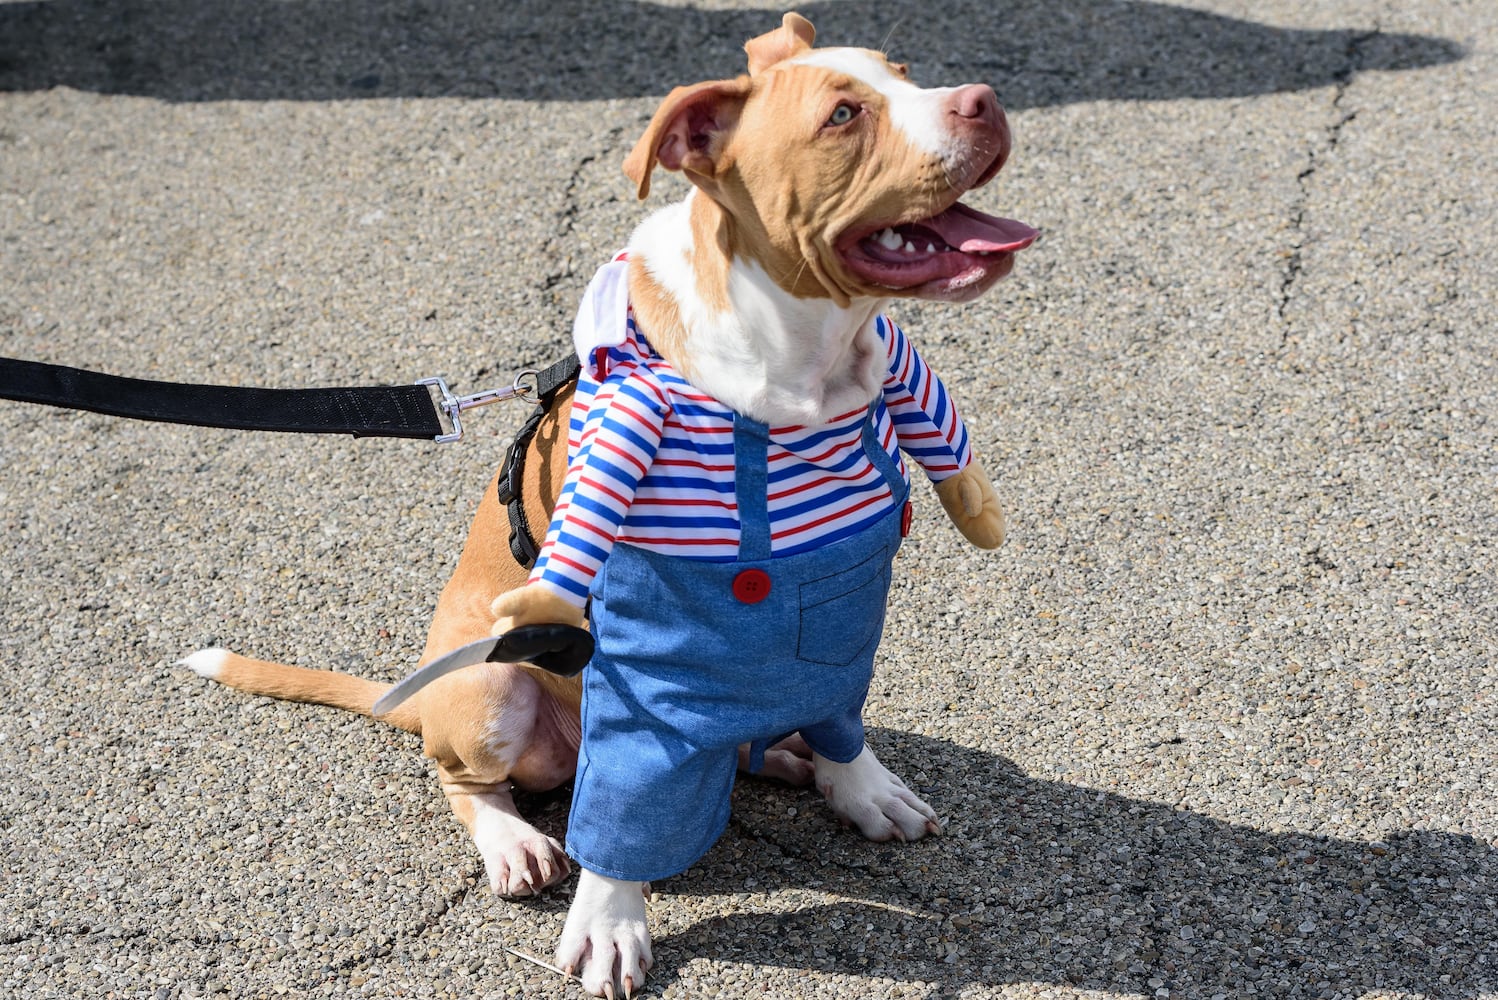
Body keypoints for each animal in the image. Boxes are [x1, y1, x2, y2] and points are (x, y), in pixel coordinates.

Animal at [184, 13, 1030, 994]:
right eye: (844, 115)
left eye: (905, 71)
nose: (986, 100)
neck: (799, 378)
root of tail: (417, 698)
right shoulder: (648, 660)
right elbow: (624, 809)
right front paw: (611, 923)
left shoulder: (843, 611)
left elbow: (839, 717)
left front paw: (857, 786)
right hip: (489, 688)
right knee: (469, 781)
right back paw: (514, 843)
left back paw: (780, 754)